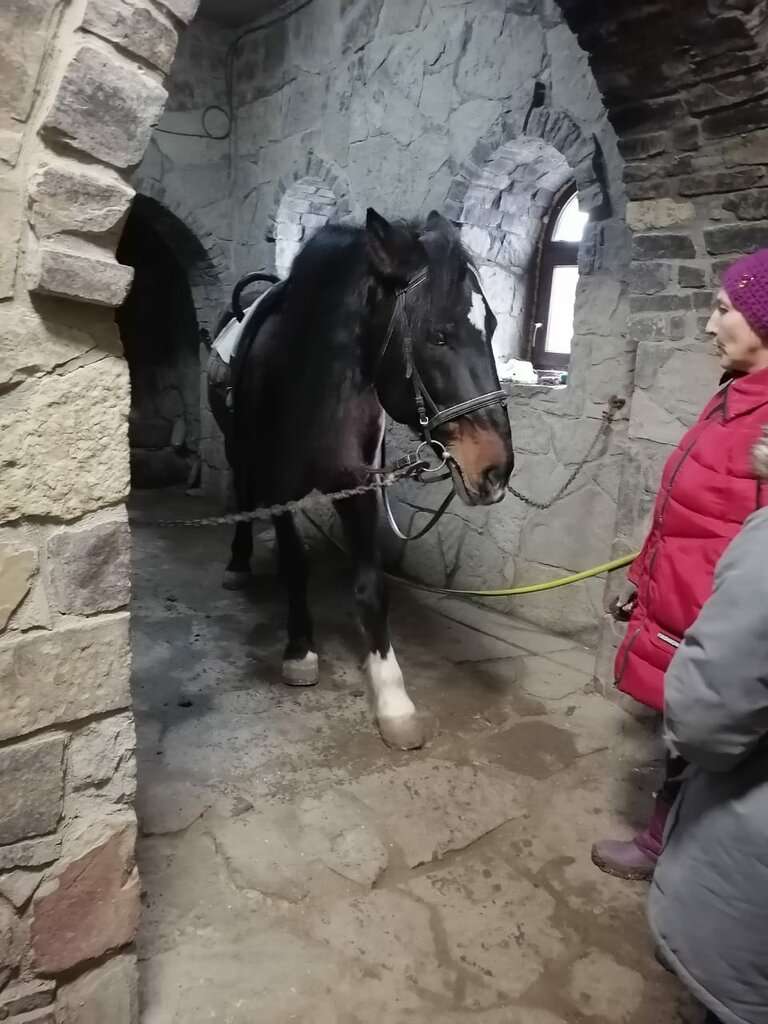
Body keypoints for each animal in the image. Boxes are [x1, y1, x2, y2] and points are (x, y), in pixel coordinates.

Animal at [208, 208, 514, 750]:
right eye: (437, 335)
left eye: (494, 327)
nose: (495, 469)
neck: (315, 387)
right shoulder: (282, 490)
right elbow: (295, 565)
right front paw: (300, 652)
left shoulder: (360, 486)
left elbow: (372, 587)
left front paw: (393, 698)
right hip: (239, 451)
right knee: (243, 495)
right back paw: (239, 563)